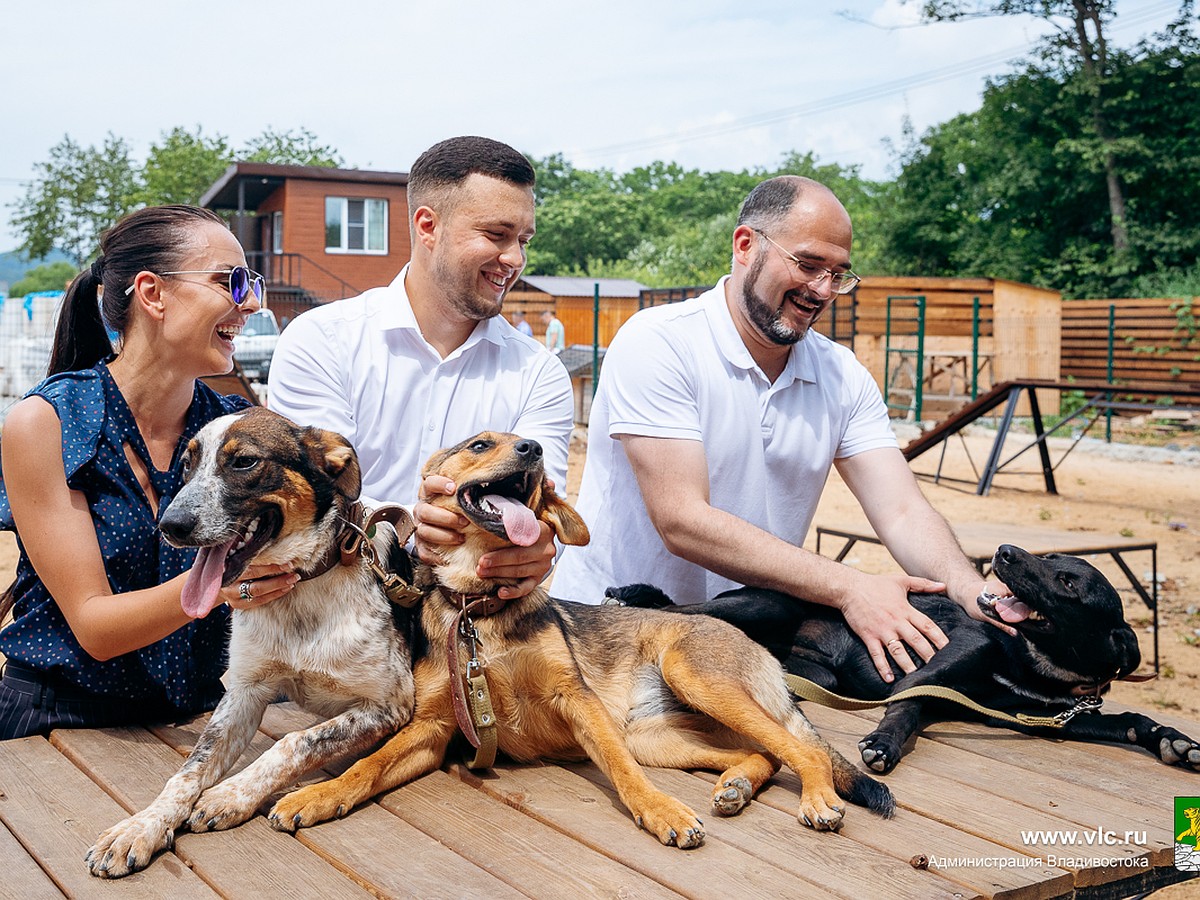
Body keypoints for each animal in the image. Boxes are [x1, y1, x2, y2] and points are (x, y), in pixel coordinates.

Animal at [87, 408, 420, 883]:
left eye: (244, 461)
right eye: (186, 465)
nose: (170, 526)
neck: (300, 591)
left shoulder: (390, 704)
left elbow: (295, 742)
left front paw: (229, 795)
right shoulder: (244, 691)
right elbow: (187, 772)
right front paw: (139, 827)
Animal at [270, 434, 892, 849]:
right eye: (478, 444)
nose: (533, 448)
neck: (480, 610)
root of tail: (756, 648)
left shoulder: (579, 701)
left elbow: (621, 771)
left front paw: (660, 811)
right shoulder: (435, 729)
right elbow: (365, 767)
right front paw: (313, 796)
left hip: (693, 677)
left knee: (804, 750)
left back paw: (816, 799)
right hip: (660, 736)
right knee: (759, 753)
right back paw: (736, 784)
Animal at [609, 547, 1200, 777]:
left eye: (1069, 582)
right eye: (1050, 559)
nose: (1005, 552)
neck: (1033, 664)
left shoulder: (1049, 716)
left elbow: (1129, 720)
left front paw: (1174, 740)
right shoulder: (944, 662)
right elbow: (908, 705)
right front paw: (882, 743)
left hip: (810, 670)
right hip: (761, 605)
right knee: (674, 610)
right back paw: (633, 597)